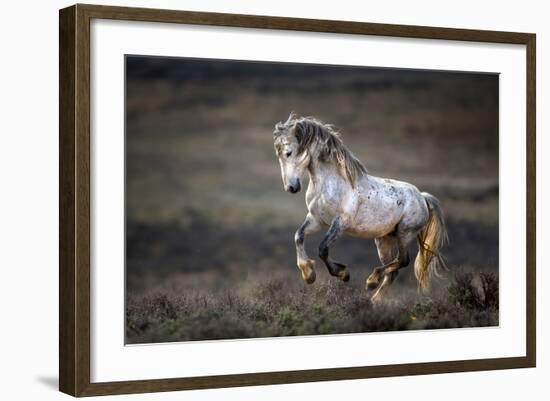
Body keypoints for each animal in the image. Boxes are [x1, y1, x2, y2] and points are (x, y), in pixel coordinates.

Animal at [272, 112, 448, 300]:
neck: (330, 184)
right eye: (279, 155)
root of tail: (422, 197)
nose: (291, 187)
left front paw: (342, 274)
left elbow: (323, 249)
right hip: (384, 239)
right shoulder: (316, 220)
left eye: (289, 153)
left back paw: (371, 280)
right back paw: (374, 300)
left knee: (403, 260)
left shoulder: (340, 222)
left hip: (404, 234)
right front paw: (308, 274)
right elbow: (298, 236)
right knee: (393, 271)